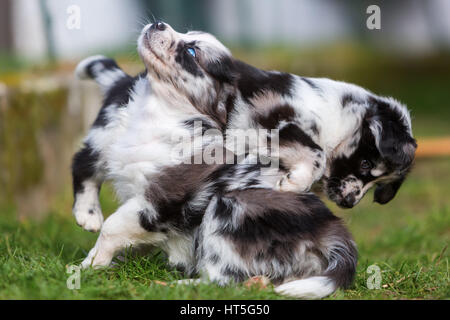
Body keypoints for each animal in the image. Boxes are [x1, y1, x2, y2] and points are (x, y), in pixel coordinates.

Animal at [73, 23, 358, 300]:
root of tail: (335, 235)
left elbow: (112, 227)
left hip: (226, 208)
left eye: (191, 52)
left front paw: (89, 266)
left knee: (221, 280)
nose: (158, 24)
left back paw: (175, 285)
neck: (159, 112)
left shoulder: (161, 197)